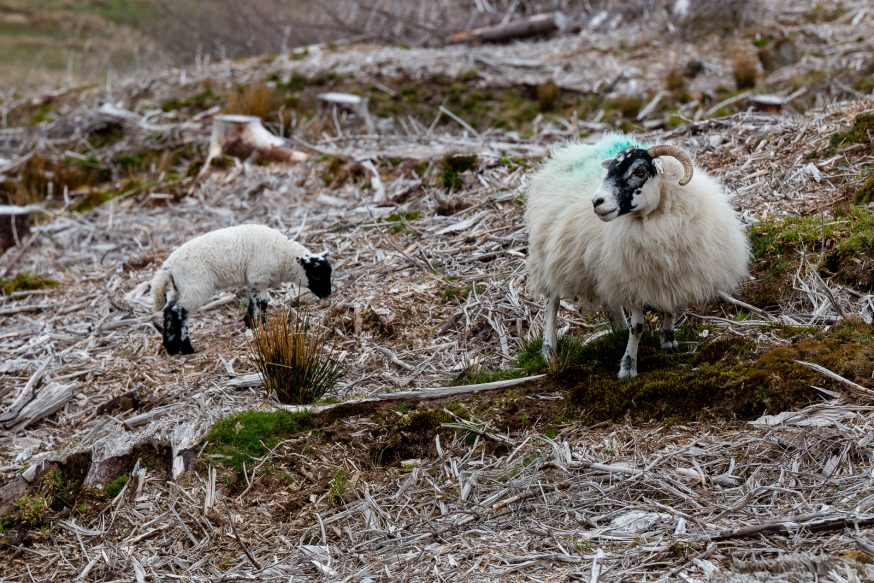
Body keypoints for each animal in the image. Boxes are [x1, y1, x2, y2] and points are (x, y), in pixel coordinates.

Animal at [150, 225, 330, 356]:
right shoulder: (258, 277)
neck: (282, 254)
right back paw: (187, 348)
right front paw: (259, 325)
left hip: (180, 288)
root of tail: (168, 266)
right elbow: (262, 302)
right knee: (178, 313)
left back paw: (171, 348)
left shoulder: (253, 281)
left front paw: (250, 323)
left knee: (168, 311)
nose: (327, 294)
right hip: (195, 286)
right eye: (316, 275)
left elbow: (255, 301)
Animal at [524, 133, 748, 378]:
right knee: (551, 301)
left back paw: (619, 329)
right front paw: (628, 366)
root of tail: (567, 152)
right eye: (610, 170)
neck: (654, 221)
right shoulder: (631, 279)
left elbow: (671, 306)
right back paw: (549, 349)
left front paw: (667, 340)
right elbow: (638, 326)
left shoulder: (673, 272)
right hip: (548, 253)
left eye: (639, 171)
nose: (596, 202)